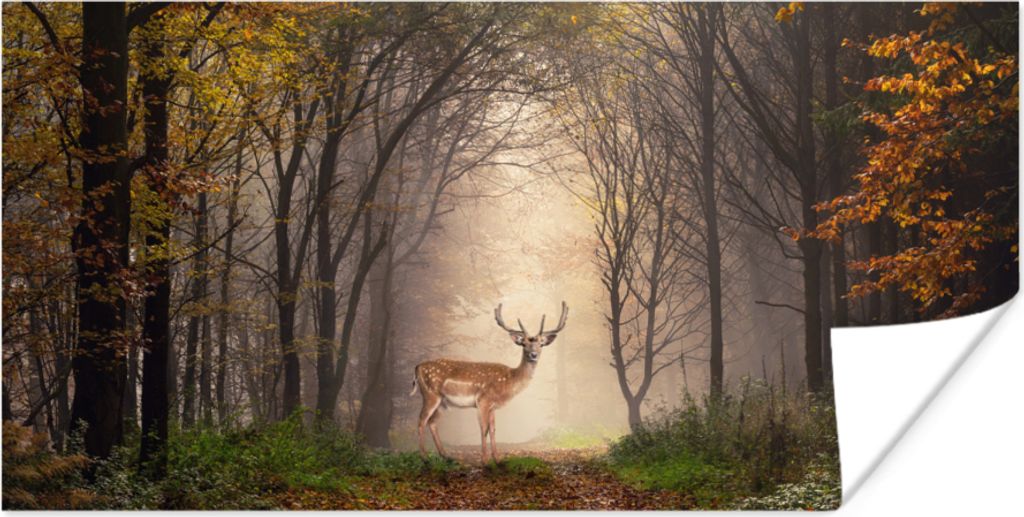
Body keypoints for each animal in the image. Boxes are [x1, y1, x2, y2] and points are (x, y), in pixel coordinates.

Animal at [411, 301, 568, 464]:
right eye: (523, 344)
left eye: (541, 344)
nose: (533, 355)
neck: (509, 381)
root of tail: (417, 367)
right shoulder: (483, 400)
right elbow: (484, 429)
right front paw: (485, 460)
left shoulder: (493, 406)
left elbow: (493, 430)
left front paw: (497, 459)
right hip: (430, 394)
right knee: (421, 420)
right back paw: (424, 457)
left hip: (442, 402)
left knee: (432, 422)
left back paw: (446, 456)